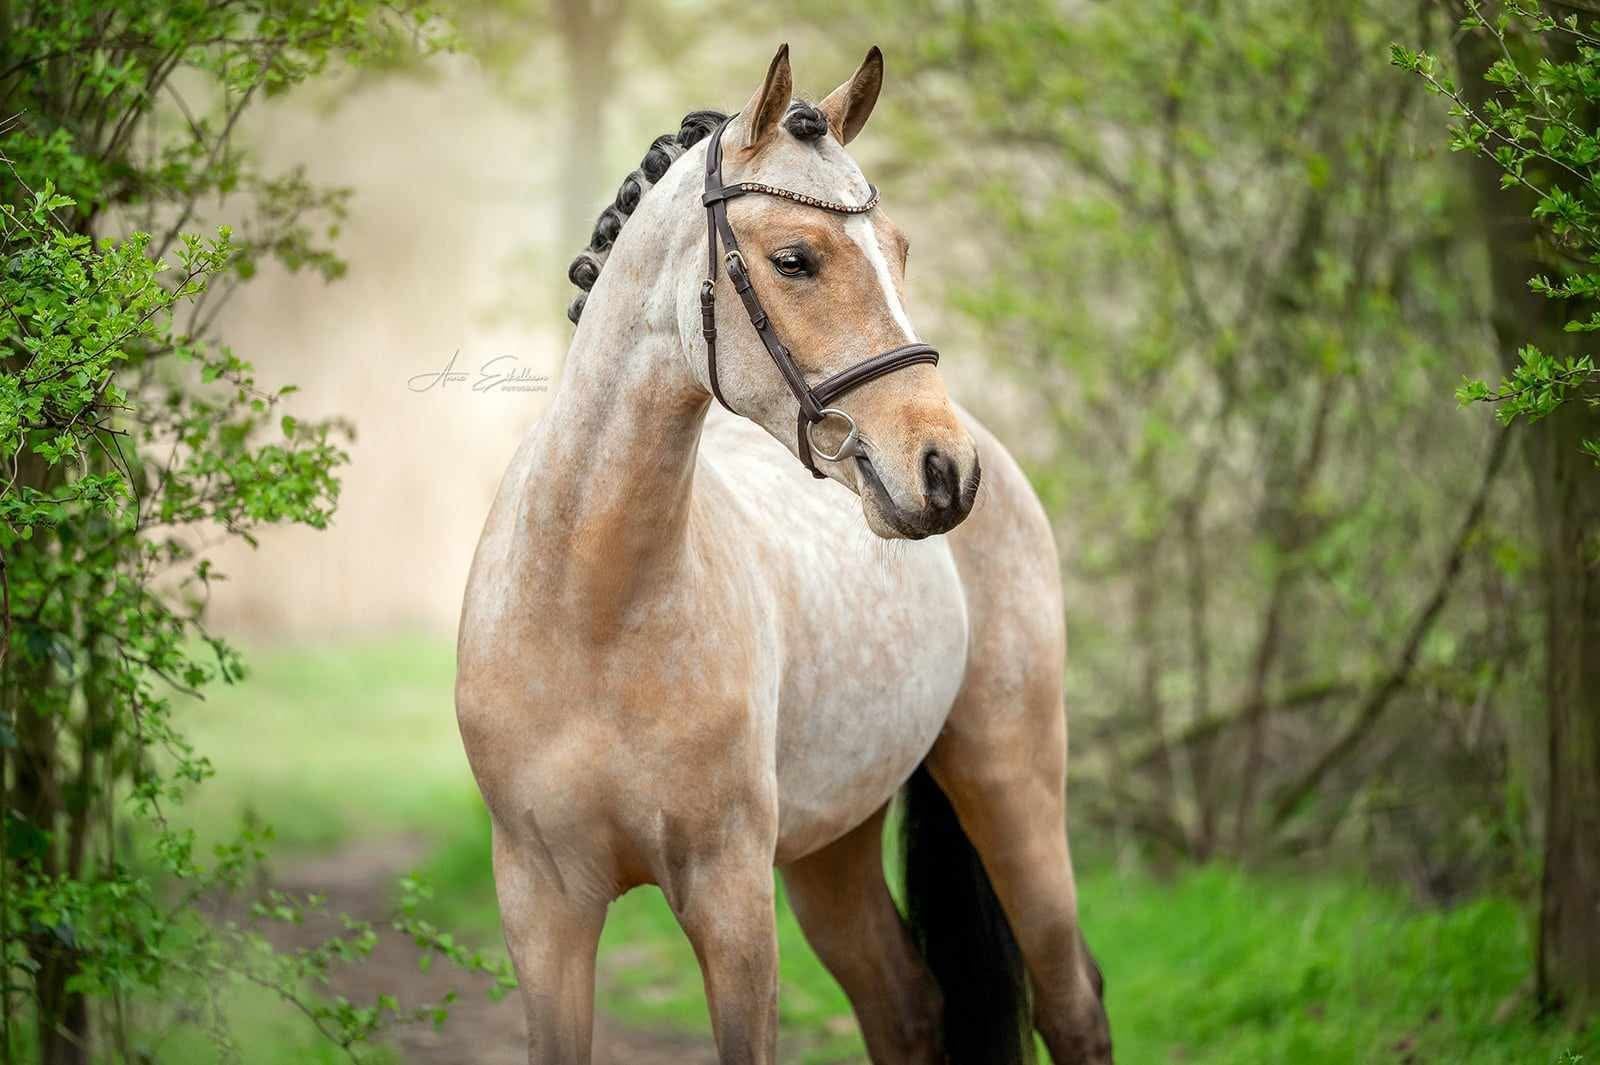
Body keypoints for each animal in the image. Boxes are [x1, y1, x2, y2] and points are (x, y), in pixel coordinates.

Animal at [455, 43, 1113, 1065]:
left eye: (901, 250)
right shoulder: (541, 905)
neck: (592, 612)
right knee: (905, 1004)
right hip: (833, 847)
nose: (943, 471)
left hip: (1012, 781)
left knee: (1072, 1004)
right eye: (795, 259)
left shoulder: (731, 900)